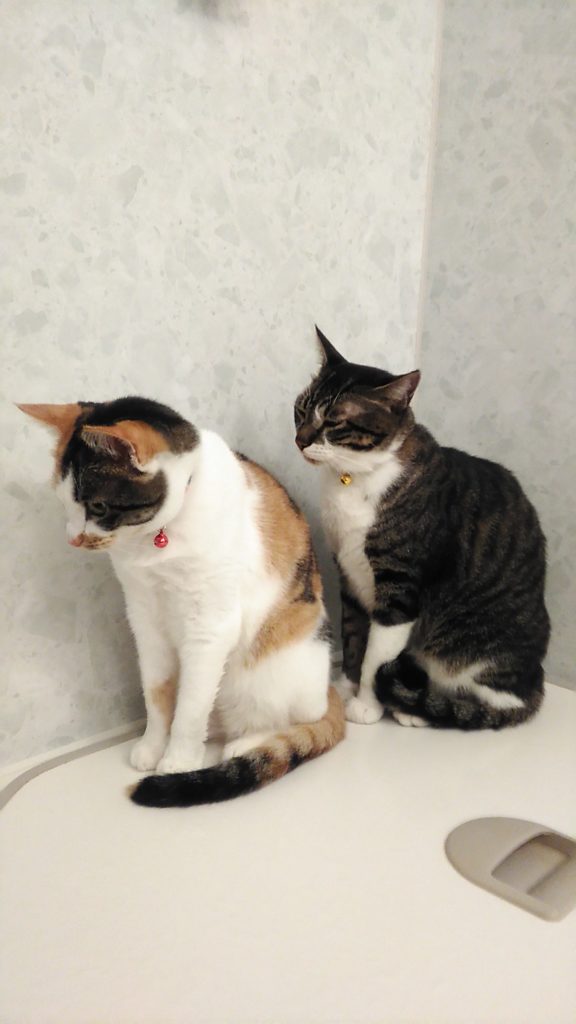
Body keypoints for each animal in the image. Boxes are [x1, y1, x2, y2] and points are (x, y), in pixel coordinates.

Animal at [19, 397, 344, 805]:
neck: (157, 538)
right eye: (64, 503)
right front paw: (152, 748)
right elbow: (157, 696)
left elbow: (190, 707)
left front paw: (178, 761)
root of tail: (329, 689)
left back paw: (246, 743)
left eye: (97, 508)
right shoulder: (144, 618)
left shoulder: (210, 628)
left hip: (276, 673)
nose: (72, 539)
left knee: (301, 718)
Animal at [293, 327, 550, 731]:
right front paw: (346, 687)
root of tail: (535, 680)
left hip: (465, 649)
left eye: (334, 422)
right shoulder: (348, 575)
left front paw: (366, 705)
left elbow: (376, 656)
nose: (301, 440)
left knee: (492, 699)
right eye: (301, 409)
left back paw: (417, 708)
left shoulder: (400, 586)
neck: (353, 478)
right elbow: (353, 637)